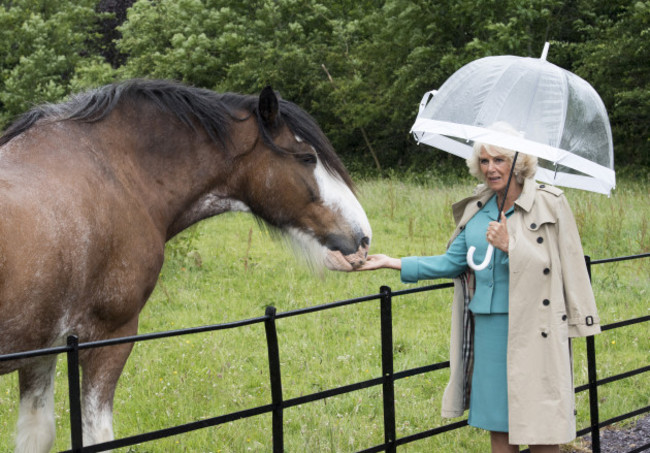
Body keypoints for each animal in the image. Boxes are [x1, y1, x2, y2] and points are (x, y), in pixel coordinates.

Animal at [0, 79, 370, 450]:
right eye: (307, 157)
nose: (363, 235)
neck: (116, 172)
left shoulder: (42, 347)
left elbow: (37, 434)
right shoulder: (108, 338)